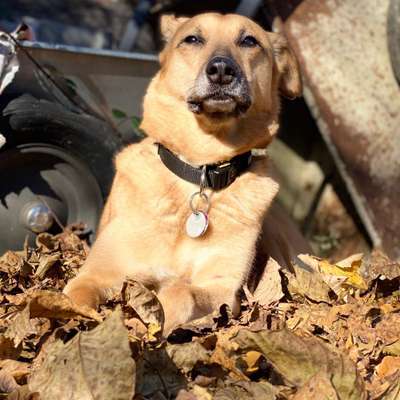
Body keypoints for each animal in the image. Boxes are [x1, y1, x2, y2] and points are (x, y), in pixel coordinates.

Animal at [65, 11, 304, 332]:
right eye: (192, 39)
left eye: (249, 41)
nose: (221, 70)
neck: (200, 169)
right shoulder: (100, 270)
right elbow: (77, 296)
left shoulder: (222, 287)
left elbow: (181, 294)